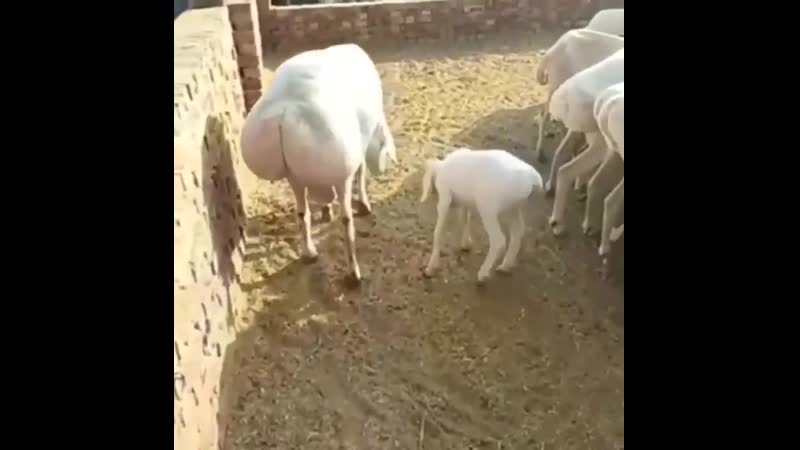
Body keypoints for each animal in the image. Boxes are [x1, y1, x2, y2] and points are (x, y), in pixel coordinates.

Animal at [240, 43, 398, 285]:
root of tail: (285, 112)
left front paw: (325, 210)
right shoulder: (355, 157)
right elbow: (361, 172)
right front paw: (363, 204)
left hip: (293, 176)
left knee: (301, 213)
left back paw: (309, 252)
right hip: (340, 175)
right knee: (346, 220)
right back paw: (354, 273)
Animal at [419, 148, 545, 284]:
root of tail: (533, 179)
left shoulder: (445, 197)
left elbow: (438, 231)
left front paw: (430, 268)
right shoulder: (465, 202)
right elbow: (464, 219)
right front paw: (466, 244)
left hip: (488, 208)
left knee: (499, 240)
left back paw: (483, 274)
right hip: (513, 208)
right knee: (518, 231)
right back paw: (505, 266)